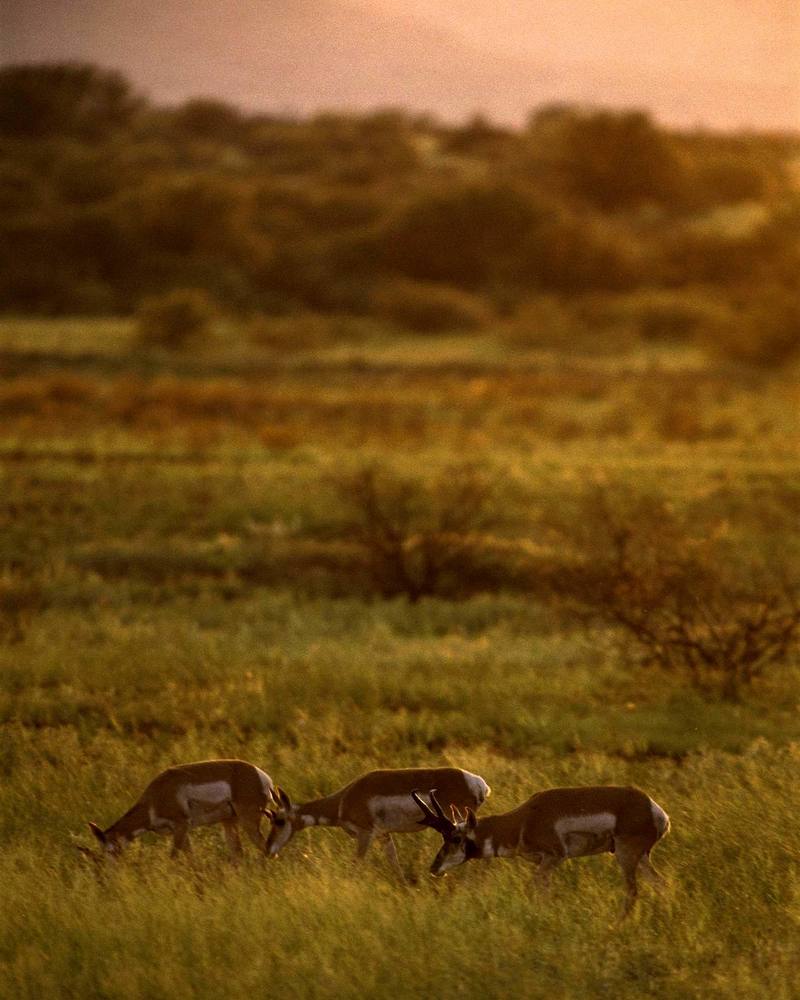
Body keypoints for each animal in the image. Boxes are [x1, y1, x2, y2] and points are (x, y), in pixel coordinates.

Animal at [86, 760, 276, 856]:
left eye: (111, 850)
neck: (155, 797)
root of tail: (262, 776)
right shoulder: (181, 832)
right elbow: (191, 859)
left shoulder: (180, 826)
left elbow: (175, 858)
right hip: (229, 822)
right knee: (239, 854)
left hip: (248, 821)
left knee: (266, 849)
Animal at [264, 764, 488, 876]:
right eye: (269, 817)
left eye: (279, 820)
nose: (268, 850)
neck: (343, 800)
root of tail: (478, 782)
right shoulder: (384, 836)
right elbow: (394, 861)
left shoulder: (365, 835)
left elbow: (355, 864)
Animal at [412, 780, 668, 916]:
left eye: (455, 838)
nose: (434, 868)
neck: (524, 820)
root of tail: (654, 808)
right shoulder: (545, 863)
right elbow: (544, 890)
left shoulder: (554, 857)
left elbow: (533, 888)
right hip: (640, 857)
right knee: (660, 883)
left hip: (626, 855)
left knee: (633, 891)